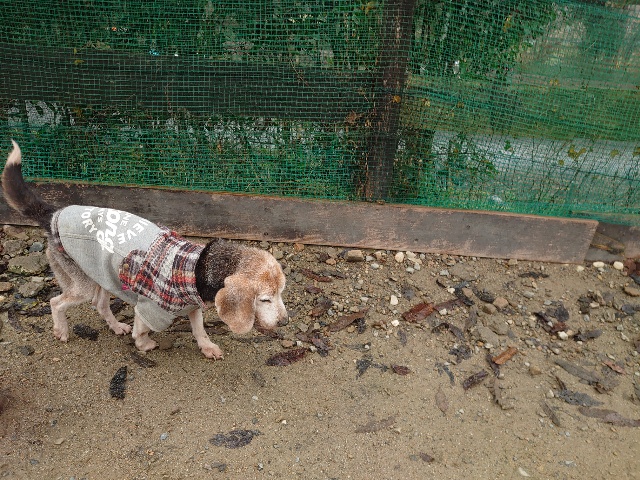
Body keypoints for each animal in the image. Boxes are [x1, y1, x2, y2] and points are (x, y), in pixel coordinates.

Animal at [2, 140, 288, 358]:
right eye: (265, 299)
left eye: (281, 293)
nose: (285, 322)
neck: (198, 265)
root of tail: (52, 215)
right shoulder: (148, 308)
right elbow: (141, 330)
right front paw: (145, 344)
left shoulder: (193, 305)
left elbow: (199, 329)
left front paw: (207, 347)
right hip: (82, 283)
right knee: (56, 302)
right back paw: (61, 330)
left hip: (103, 276)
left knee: (100, 305)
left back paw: (116, 326)